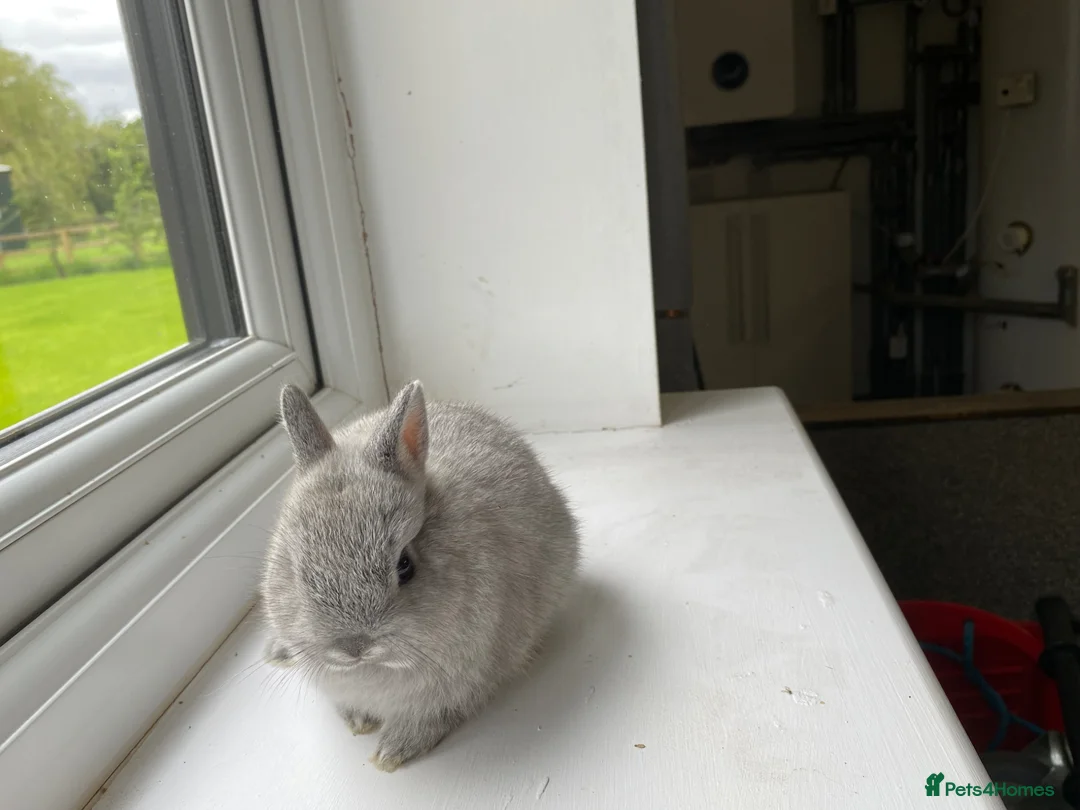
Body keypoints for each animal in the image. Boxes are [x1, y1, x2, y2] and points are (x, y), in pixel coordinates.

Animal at [258, 380, 581, 771]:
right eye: (296, 568)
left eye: (405, 565)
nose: (354, 647)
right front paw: (359, 721)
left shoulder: (461, 683)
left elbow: (432, 718)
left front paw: (391, 754)